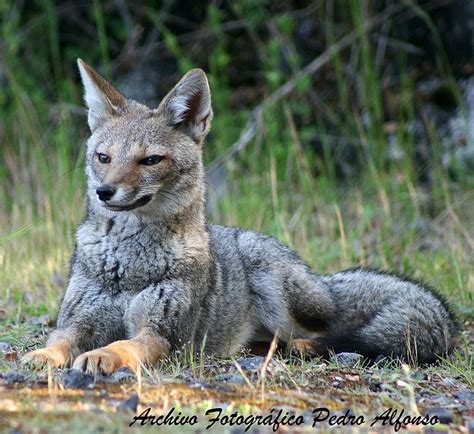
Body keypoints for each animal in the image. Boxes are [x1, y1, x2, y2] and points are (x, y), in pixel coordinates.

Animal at [21, 59, 456, 374]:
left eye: (150, 160)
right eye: (103, 157)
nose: (104, 192)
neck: (128, 265)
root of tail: (325, 282)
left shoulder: (162, 335)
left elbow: (123, 343)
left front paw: (102, 356)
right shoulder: (78, 321)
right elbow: (58, 340)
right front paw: (41, 358)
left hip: (276, 287)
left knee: (330, 332)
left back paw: (305, 346)